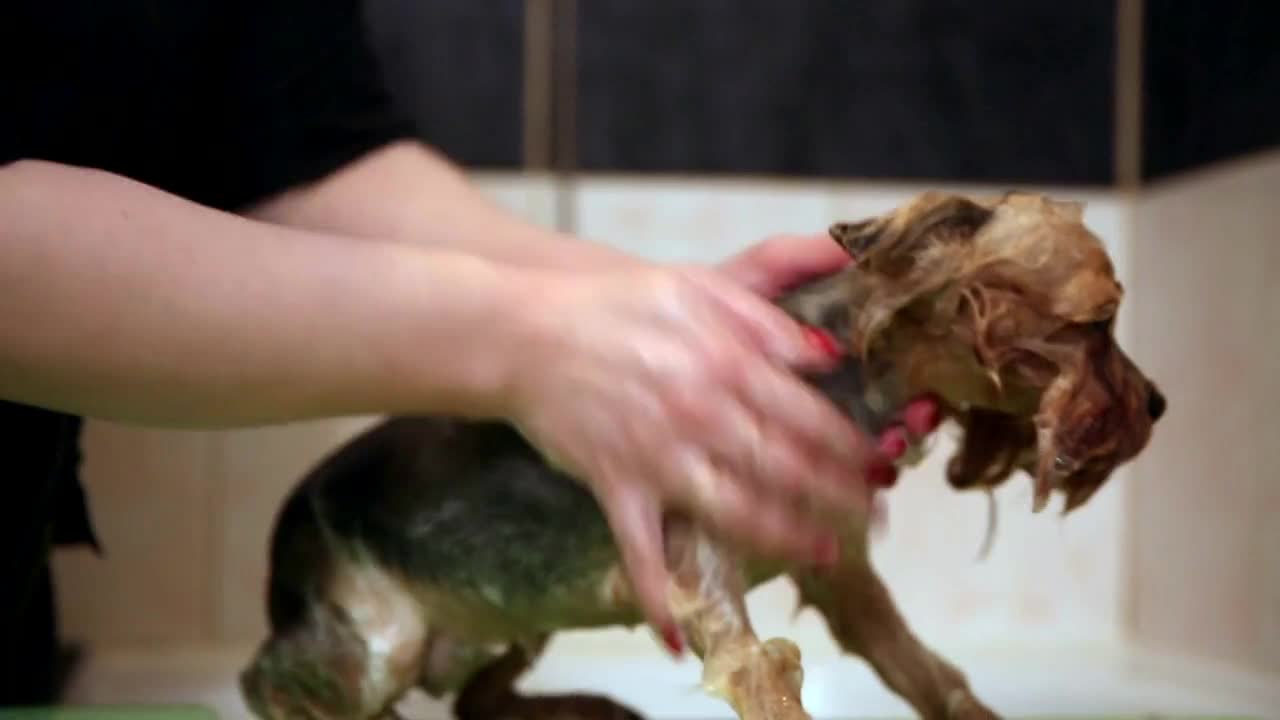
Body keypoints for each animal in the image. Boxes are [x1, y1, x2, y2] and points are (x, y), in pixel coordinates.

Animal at [238, 188, 1162, 712]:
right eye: (1098, 320)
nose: (1157, 404)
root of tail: (282, 534)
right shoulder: (703, 579)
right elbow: (761, 674)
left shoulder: (841, 572)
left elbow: (928, 673)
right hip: (375, 638)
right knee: (273, 684)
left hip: (515, 603)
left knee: (474, 699)